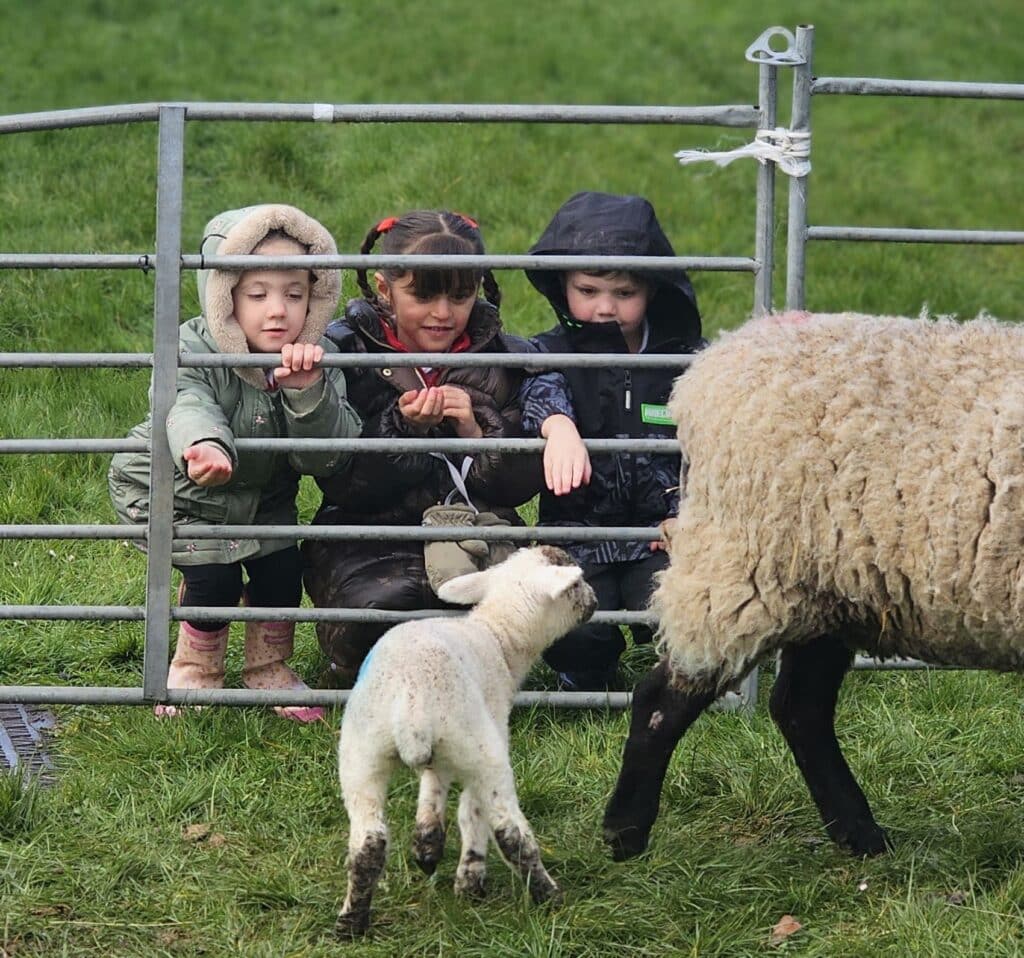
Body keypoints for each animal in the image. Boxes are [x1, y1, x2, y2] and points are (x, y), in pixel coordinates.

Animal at [335, 545, 597, 938]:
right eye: (577, 582)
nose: (595, 600)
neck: (497, 635)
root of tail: (411, 702)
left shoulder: (440, 755)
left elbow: (433, 786)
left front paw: (427, 845)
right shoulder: (489, 733)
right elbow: (471, 812)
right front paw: (468, 879)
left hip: (361, 751)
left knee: (368, 842)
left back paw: (350, 923)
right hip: (477, 745)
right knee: (508, 831)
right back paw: (547, 894)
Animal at [603, 310, 1024, 862]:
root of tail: (710, 367)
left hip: (831, 591)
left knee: (800, 708)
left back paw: (859, 834)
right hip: (748, 569)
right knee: (663, 698)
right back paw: (625, 833)